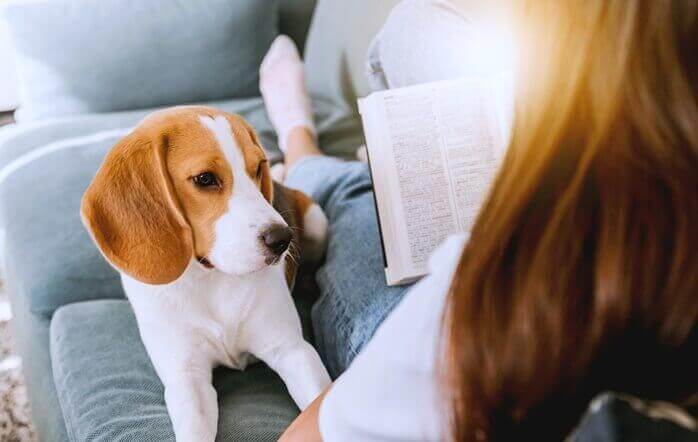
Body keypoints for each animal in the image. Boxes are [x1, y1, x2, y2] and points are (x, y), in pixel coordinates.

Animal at [80, 105, 330, 440]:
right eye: (204, 179)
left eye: (258, 168)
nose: (282, 239)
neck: (210, 278)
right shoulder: (187, 379)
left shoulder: (293, 350)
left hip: (317, 221)